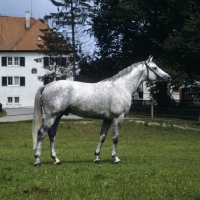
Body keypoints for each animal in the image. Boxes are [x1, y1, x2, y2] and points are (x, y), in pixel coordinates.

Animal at [32, 55, 170, 166]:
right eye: (155, 67)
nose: (168, 77)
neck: (121, 87)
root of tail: (46, 86)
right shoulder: (118, 118)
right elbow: (115, 138)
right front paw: (116, 158)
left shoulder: (107, 119)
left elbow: (102, 137)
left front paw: (97, 158)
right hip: (51, 117)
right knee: (41, 133)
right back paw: (37, 160)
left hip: (57, 116)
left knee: (52, 134)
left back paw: (56, 160)